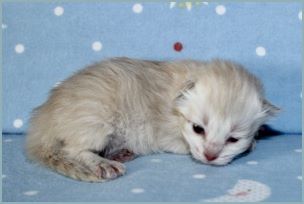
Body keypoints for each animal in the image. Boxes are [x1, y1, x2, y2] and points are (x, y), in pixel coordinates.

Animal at [25, 57, 278, 182]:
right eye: (198, 128)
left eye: (233, 139)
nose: (210, 156)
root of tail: (42, 121)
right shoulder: (168, 136)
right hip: (96, 121)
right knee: (72, 150)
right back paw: (103, 164)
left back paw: (120, 153)